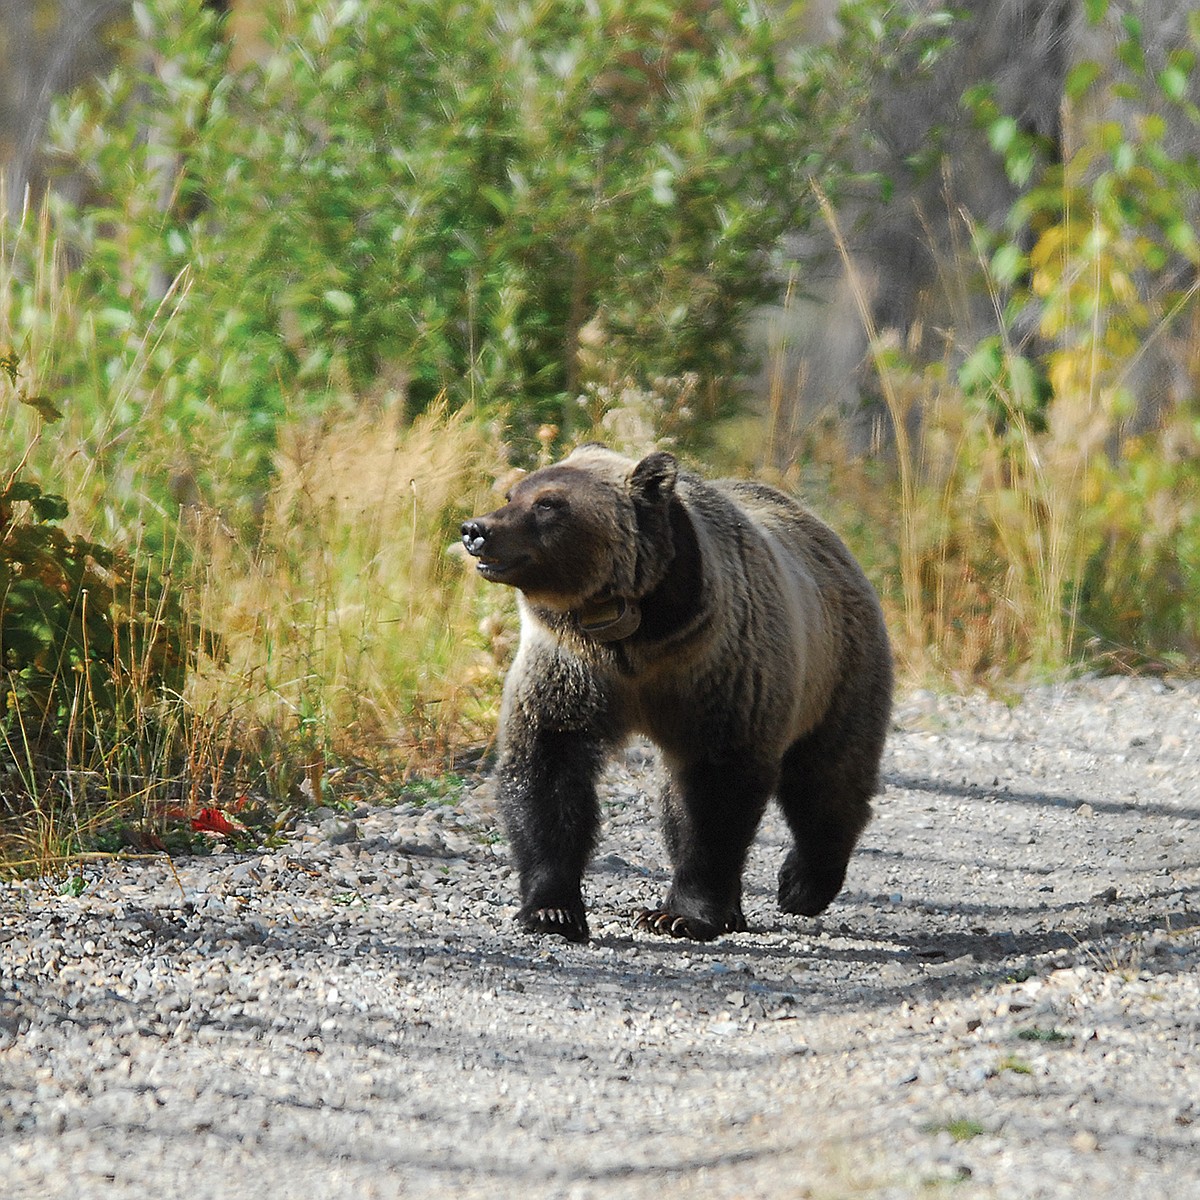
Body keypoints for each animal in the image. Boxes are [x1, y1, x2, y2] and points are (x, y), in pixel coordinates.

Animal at [460, 444, 892, 943]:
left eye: (549, 503)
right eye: (512, 494)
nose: (476, 530)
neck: (635, 633)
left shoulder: (720, 667)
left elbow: (714, 794)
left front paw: (681, 914)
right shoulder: (572, 667)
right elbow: (547, 767)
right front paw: (552, 910)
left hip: (838, 671)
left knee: (828, 777)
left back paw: (803, 885)